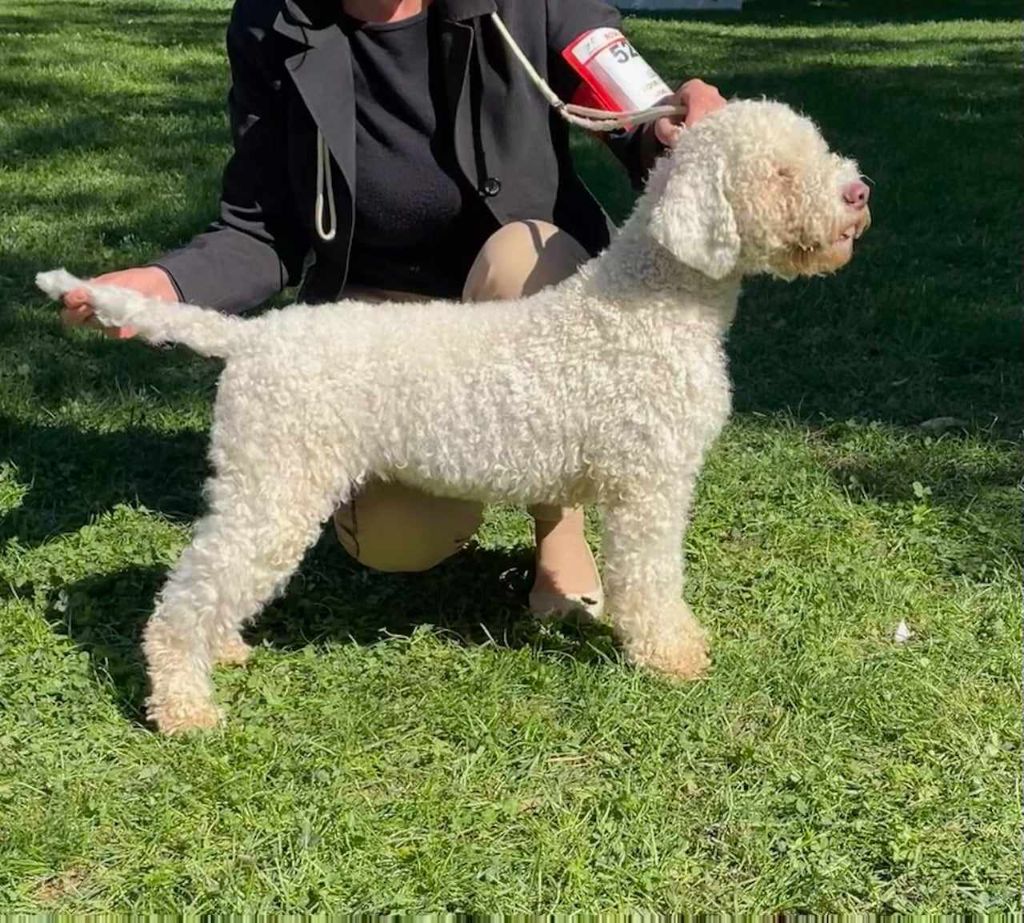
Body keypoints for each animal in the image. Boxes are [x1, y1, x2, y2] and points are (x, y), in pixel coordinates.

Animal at [39, 102, 872, 733]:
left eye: (814, 151)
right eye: (779, 171)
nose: (857, 193)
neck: (653, 301)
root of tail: (252, 337)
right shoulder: (649, 485)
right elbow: (651, 577)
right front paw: (673, 654)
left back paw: (224, 652)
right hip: (276, 484)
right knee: (186, 593)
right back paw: (185, 707)